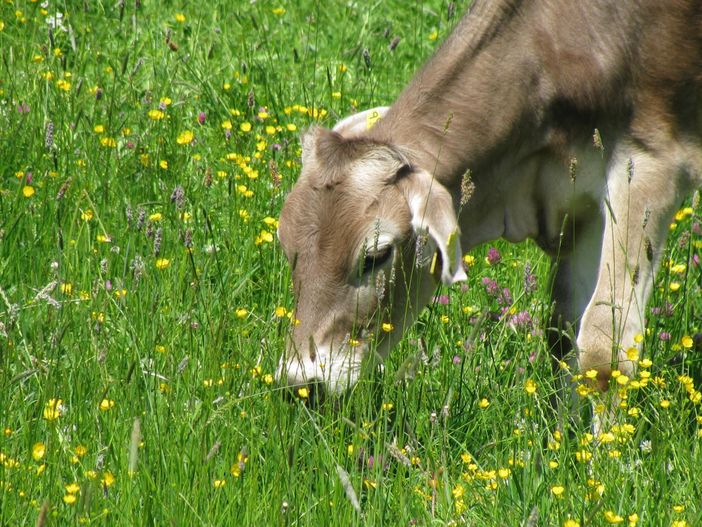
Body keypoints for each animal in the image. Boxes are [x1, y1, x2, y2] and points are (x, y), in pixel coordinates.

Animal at [276, 0, 702, 396]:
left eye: (376, 255)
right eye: (287, 248)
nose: (300, 383)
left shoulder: (648, 165)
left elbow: (604, 351)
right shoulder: (580, 206)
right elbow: (563, 335)